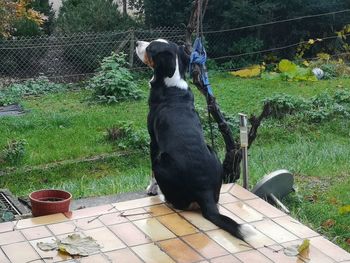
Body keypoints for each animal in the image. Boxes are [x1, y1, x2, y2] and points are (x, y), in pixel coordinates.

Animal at [135, 38, 256, 241]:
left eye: (150, 48)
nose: (137, 42)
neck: (171, 84)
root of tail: (204, 191)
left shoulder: (153, 141)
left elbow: (150, 171)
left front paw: (151, 189)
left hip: (162, 162)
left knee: (177, 201)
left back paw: (166, 198)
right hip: (212, 152)